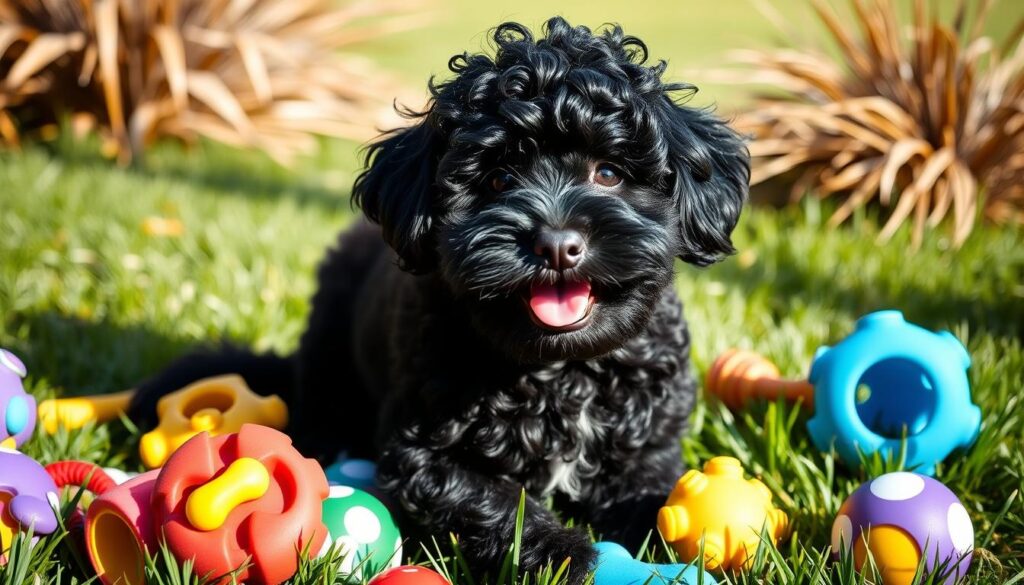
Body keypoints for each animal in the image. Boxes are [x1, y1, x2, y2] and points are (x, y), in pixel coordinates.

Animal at [132, 16, 749, 581]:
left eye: (610, 173)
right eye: (498, 180)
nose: (557, 244)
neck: (561, 369)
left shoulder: (649, 447)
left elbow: (652, 498)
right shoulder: (420, 455)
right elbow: (490, 499)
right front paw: (561, 552)